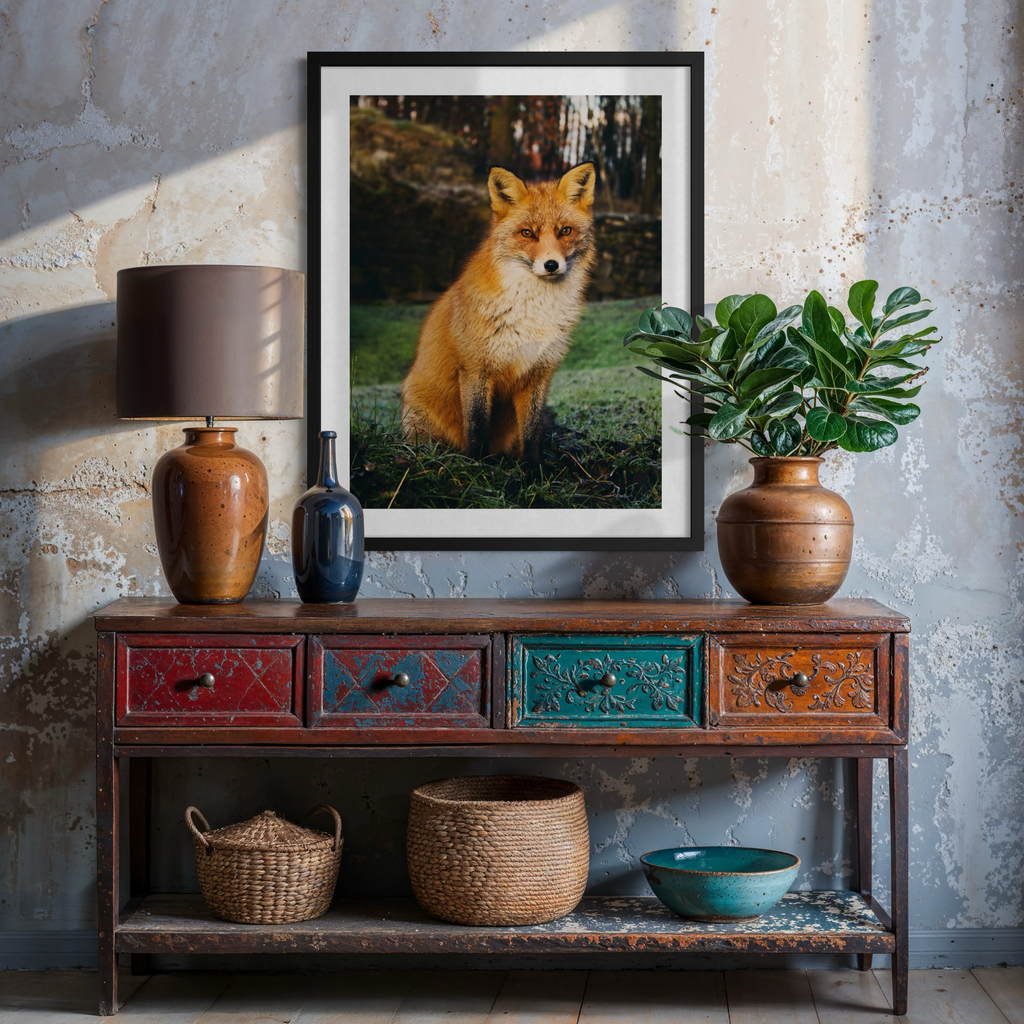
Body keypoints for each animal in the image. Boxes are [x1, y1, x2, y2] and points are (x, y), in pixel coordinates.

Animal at [400, 162, 597, 465]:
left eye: (565, 231)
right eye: (527, 233)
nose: (551, 264)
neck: (534, 312)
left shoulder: (538, 373)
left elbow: (532, 430)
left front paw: (533, 468)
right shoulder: (475, 369)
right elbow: (477, 426)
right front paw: (477, 466)